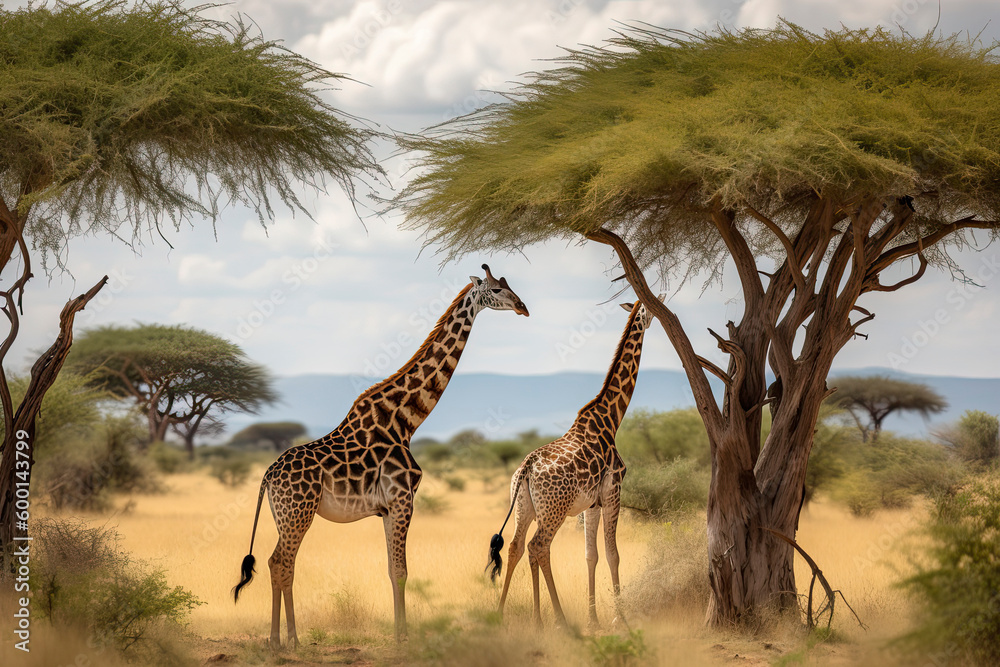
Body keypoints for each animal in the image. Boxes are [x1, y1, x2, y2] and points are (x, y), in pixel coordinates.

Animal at [233, 265, 529, 646]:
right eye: (496, 289)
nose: (523, 307)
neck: (405, 420)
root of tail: (268, 475)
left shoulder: (388, 507)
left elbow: (391, 569)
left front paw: (400, 632)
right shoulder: (403, 499)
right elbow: (402, 570)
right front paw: (405, 638)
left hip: (283, 514)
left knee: (278, 563)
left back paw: (282, 640)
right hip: (298, 512)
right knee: (280, 563)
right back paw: (285, 641)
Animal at [486, 297, 658, 628]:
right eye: (649, 310)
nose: (658, 316)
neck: (610, 419)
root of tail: (526, 469)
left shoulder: (592, 503)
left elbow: (591, 555)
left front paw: (593, 619)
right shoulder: (612, 492)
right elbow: (613, 553)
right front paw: (620, 619)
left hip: (525, 507)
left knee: (516, 547)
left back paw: (508, 615)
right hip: (554, 510)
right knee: (538, 547)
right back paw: (558, 619)